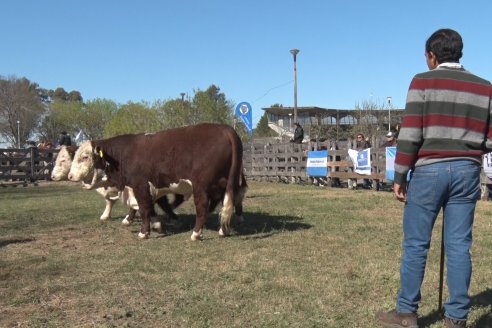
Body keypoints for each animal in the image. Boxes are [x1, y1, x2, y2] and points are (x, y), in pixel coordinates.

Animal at [67, 123, 248, 241]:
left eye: (85, 157)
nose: (70, 176)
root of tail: (225, 129)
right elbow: (148, 208)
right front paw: (158, 225)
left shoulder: (140, 186)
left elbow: (144, 209)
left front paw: (144, 232)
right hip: (224, 183)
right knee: (226, 202)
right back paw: (223, 230)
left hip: (201, 186)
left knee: (203, 207)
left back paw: (196, 234)